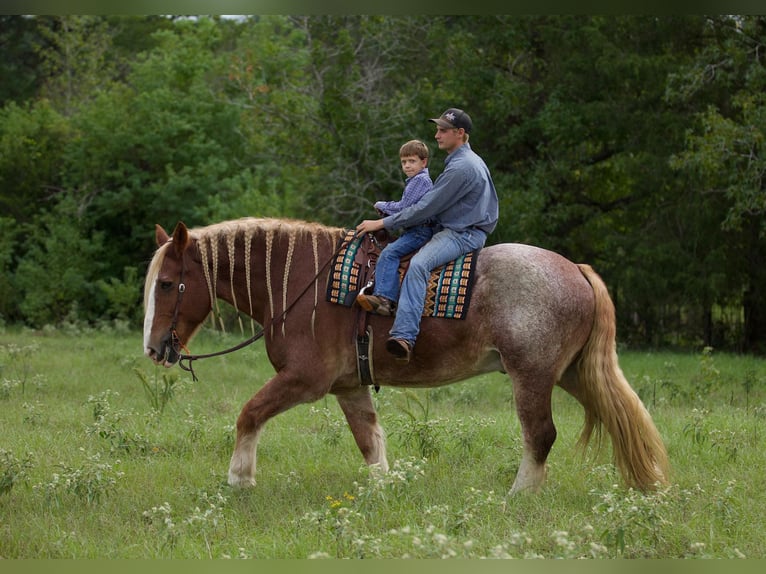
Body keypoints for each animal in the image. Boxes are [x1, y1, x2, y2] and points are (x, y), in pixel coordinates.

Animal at [144, 218, 672, 498]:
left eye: (168, 284)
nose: (153, 348)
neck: (300, 283)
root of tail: (575, 269)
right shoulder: (349, 386)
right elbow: (369, 440)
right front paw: (383, 491)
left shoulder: (304, 381)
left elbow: (249, 414)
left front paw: (240, 480)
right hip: (576, 374)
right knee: (622, 416)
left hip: (533, 376)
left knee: (540, 436)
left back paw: (518, 497)